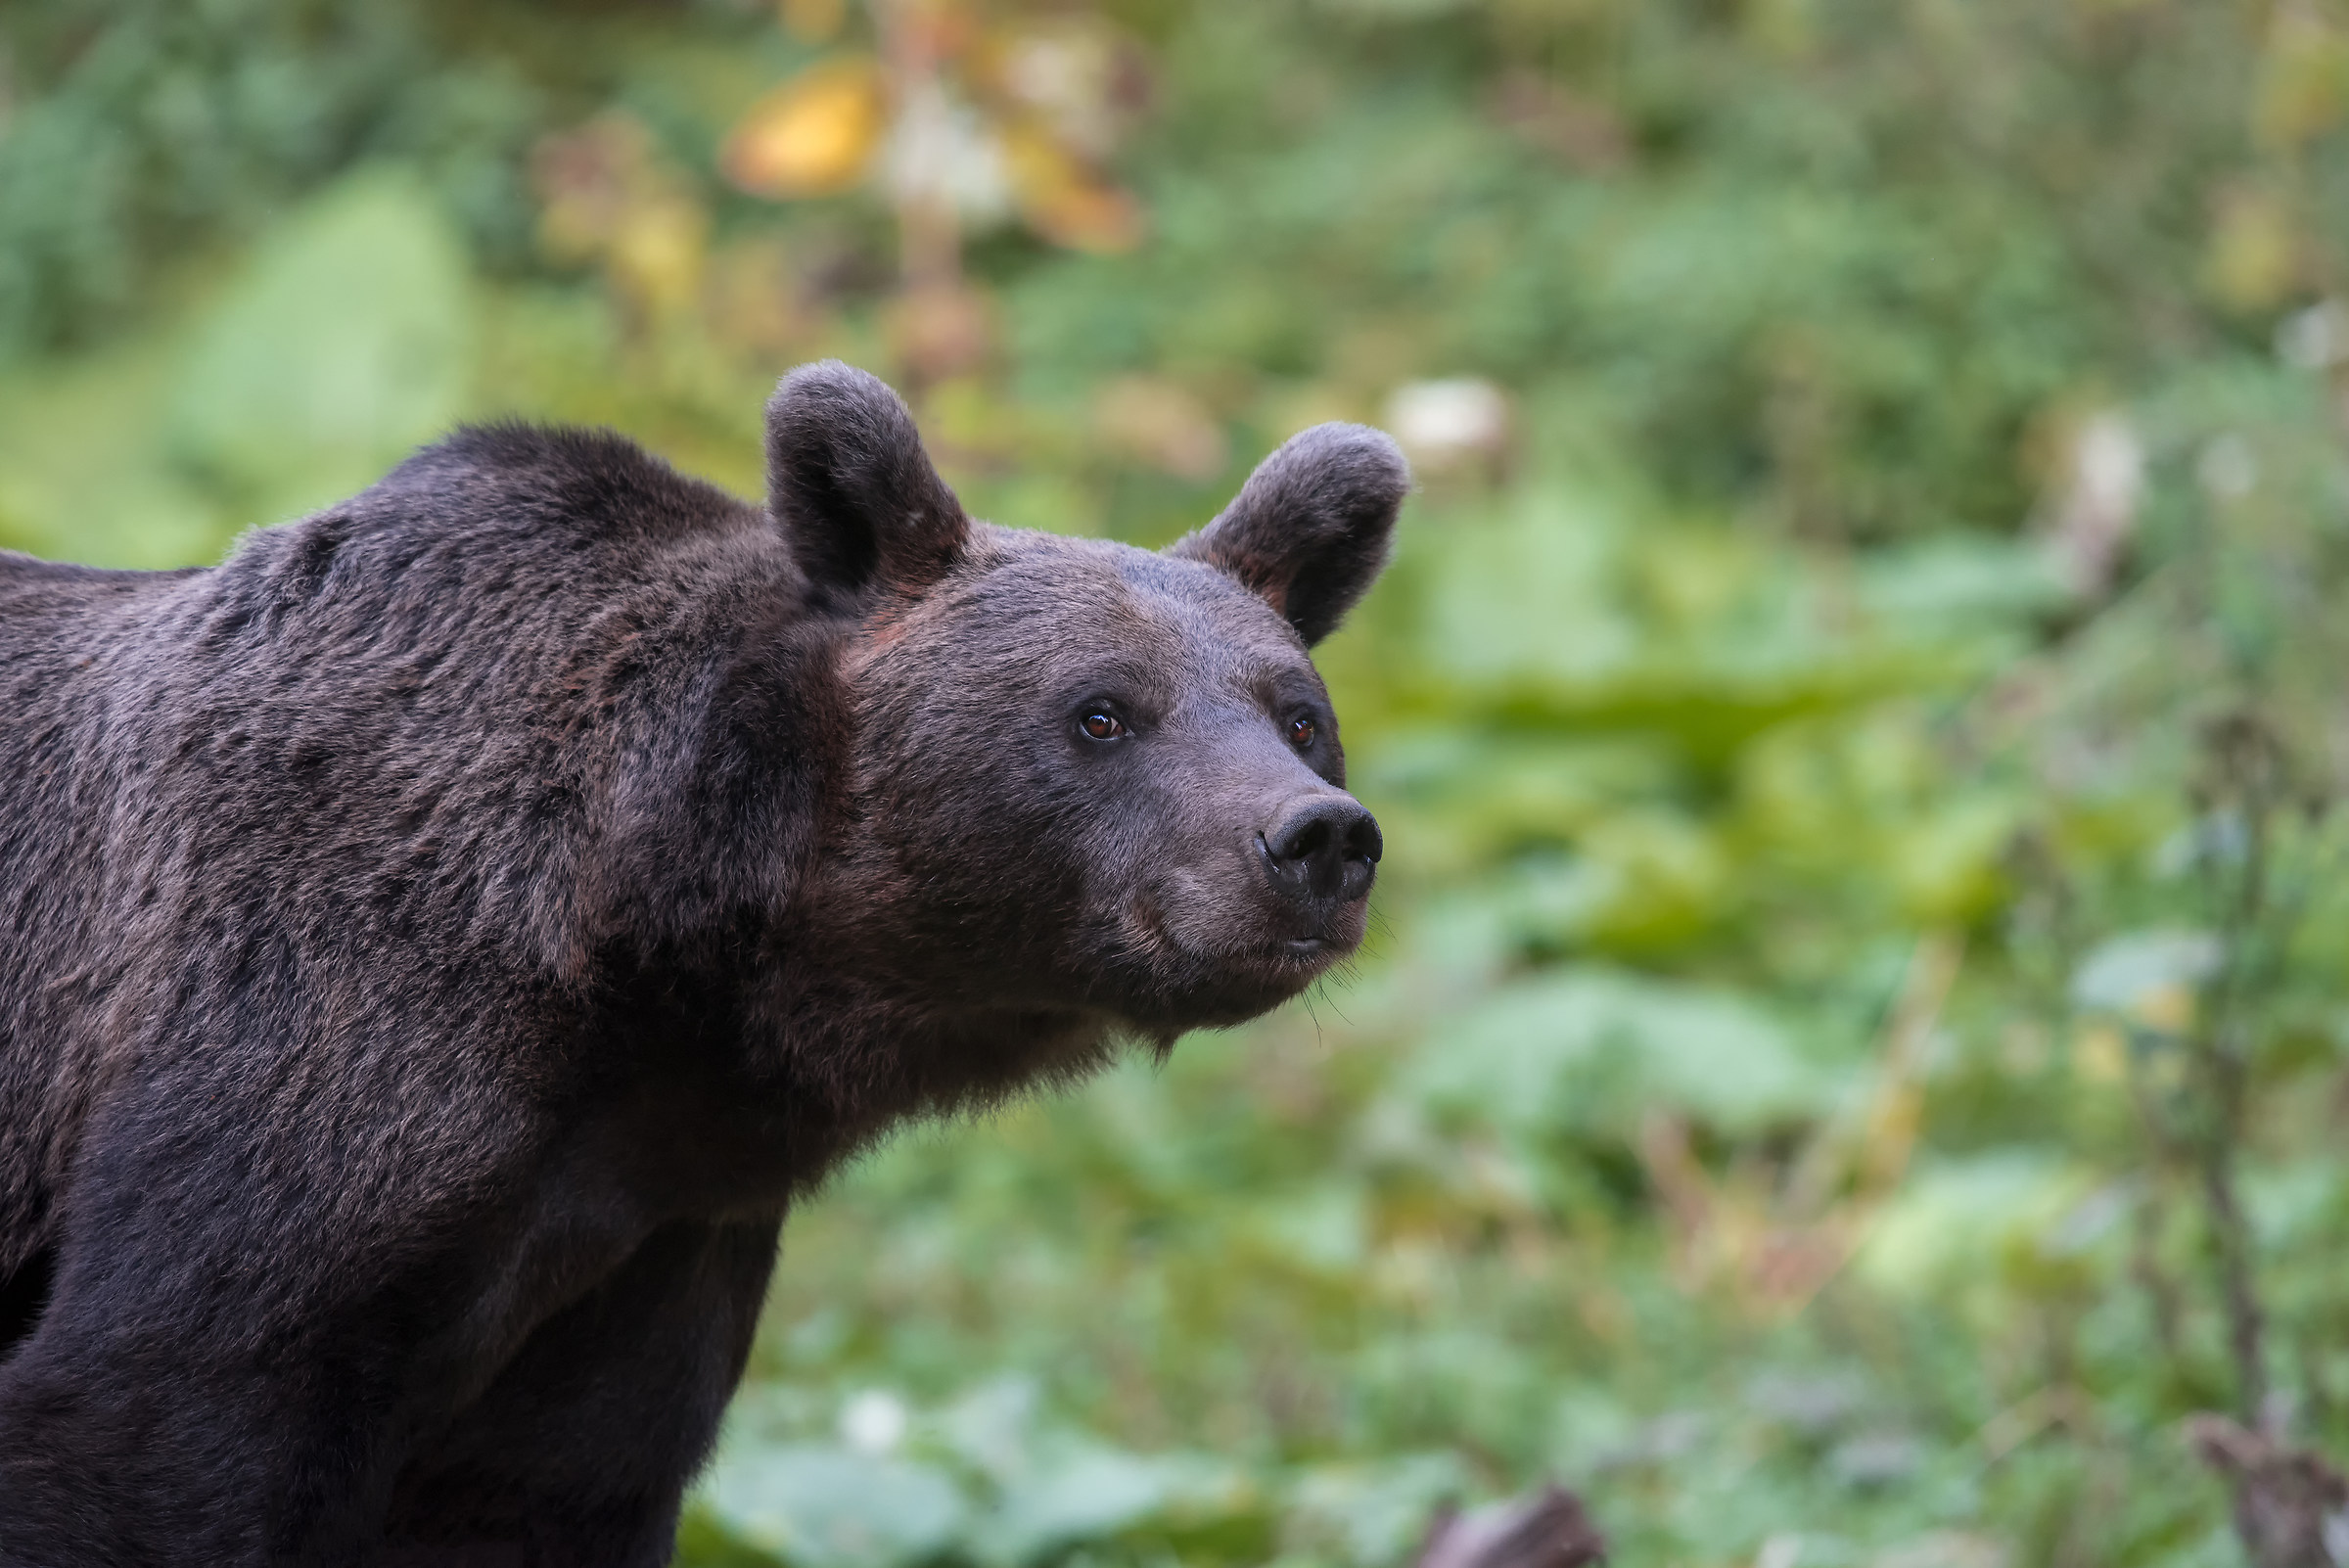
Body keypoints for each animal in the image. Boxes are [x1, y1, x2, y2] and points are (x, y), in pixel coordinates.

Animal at [0, 361, 1406, 1566]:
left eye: (1297, 715)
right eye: (1103, 712)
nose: (1315, 840)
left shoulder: (632, 1265)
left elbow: (544, 1490)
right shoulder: (310, 1055)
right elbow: (153, 1421)